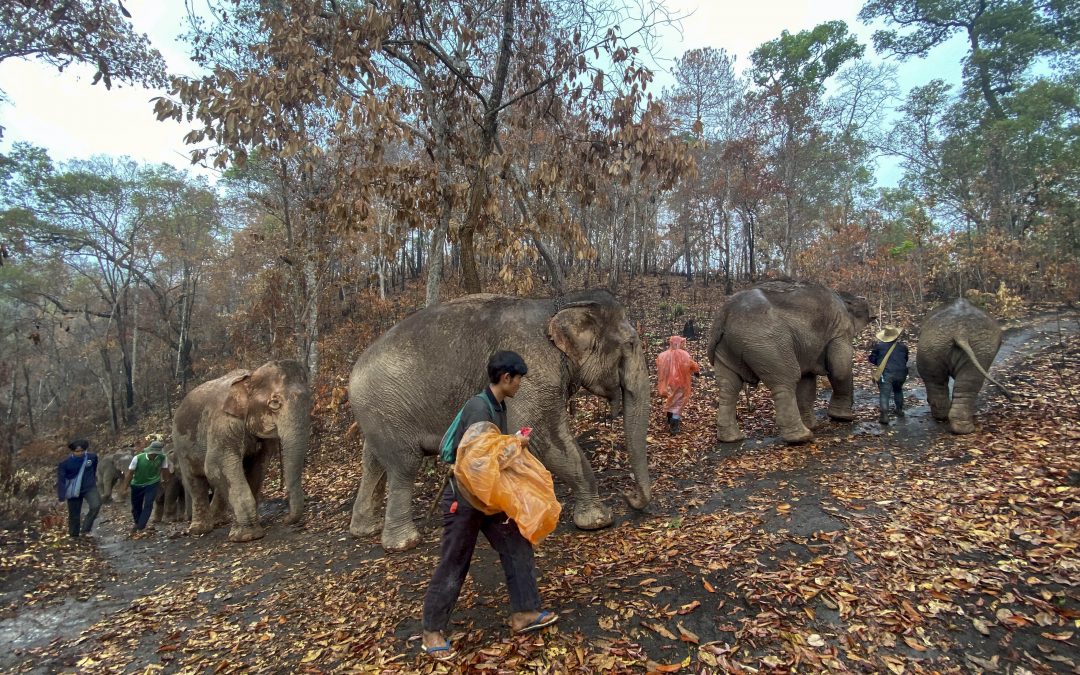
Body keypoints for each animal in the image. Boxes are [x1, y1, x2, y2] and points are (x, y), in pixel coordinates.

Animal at [172, 360, 311, 542]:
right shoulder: (223, 424)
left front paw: (251, 527)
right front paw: (247, 536)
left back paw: (219, 521)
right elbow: (215, 466)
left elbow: (257, 467)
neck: (249, 378)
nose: (286, 519)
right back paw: (199, 530)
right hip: (181, 444)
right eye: (274, 403)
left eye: (310, 400)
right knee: (195, 481)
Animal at [348, 290, 652, 552]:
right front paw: (599, 521)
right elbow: (545, 438)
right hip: (388, 409)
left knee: (373, 461)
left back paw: (365, 529)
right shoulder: (534, 372)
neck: (558, 304)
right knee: (404, 466)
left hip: (378, 416)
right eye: (631, 344)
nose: (629, 495)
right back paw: (404, 543)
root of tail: (351, 377)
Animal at [708, 280, 871, 444]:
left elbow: (807, 380)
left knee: (729, 387)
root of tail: (725, 313)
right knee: (786, 380)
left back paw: (732, 438)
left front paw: (814, 425)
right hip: (768, 343)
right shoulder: (839, 329)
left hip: (726, 347)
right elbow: (840, 369)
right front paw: (844, 418)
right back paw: (801, 437)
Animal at [916, 298, 1012, 434]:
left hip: (933, 345)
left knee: (938, 380)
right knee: (967, 382)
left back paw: (948, 421)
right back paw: (963, 428)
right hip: (977, 348)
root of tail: (961, 332)